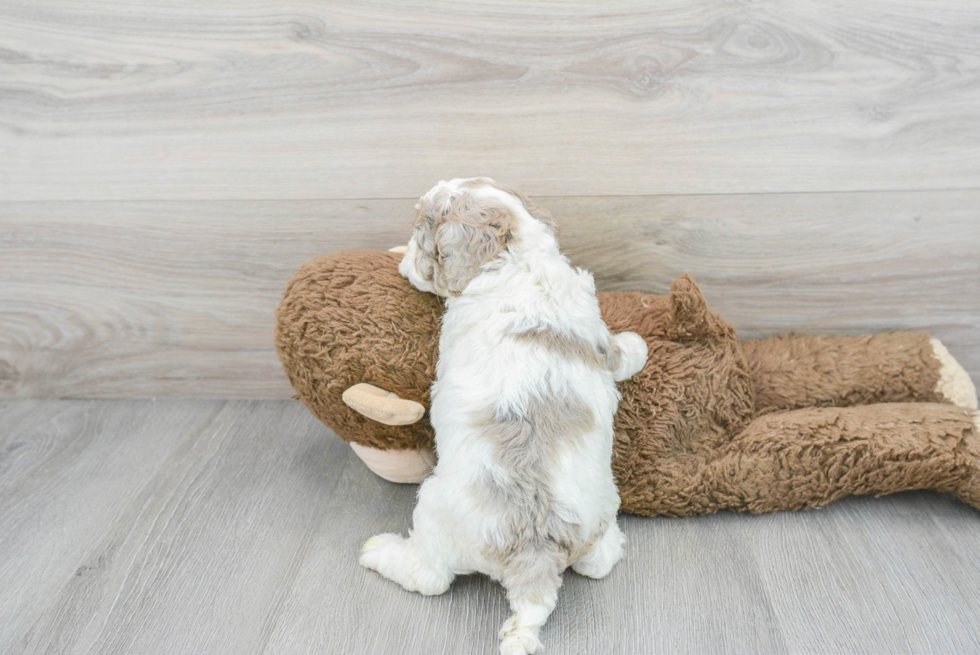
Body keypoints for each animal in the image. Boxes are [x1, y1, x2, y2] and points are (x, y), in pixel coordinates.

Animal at [356, 178, 648, 655]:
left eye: (423, 240)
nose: (403, 260)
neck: (518, 256)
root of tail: (536, 553)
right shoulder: (596, 332)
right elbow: (618, 353)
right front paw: (638, 346)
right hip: (601, 510)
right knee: (599, 562)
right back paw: (610, 546)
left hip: (434, 512)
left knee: (430, 577)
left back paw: (381, 552)